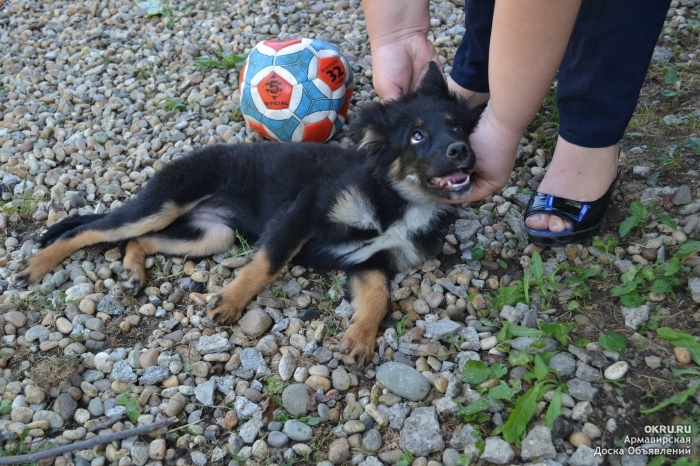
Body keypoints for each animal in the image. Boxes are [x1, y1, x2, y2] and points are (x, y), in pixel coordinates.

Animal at [15, 62, 482, 366]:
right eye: (417, 136)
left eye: (458, 126)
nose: (462, 151)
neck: (397, 198)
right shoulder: (304, 210)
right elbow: (268, 262)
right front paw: (231, 302)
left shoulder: (372, 262)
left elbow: (378, 299)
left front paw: (359, 339)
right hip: (165, 203)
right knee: (89, 230)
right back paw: (36, 266)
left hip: (210, 235)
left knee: (137, 238)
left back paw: (132, 272)